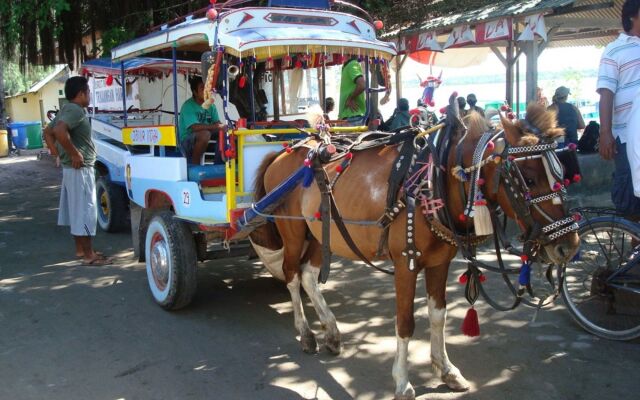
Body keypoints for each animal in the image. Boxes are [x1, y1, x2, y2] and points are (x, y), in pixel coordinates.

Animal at [249, 104, 580, 398]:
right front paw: (402, 382)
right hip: (292, 231)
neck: (434, 182)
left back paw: (331, 331)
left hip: (320, 233)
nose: (568, 245)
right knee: (292, 276)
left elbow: (438, 316)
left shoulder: (440, 262)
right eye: (529, 178)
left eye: (562, 172)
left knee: (308, 276)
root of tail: (285, 151)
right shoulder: (406, 264)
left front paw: (446, 370)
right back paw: (306, 334)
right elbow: (406, 322)